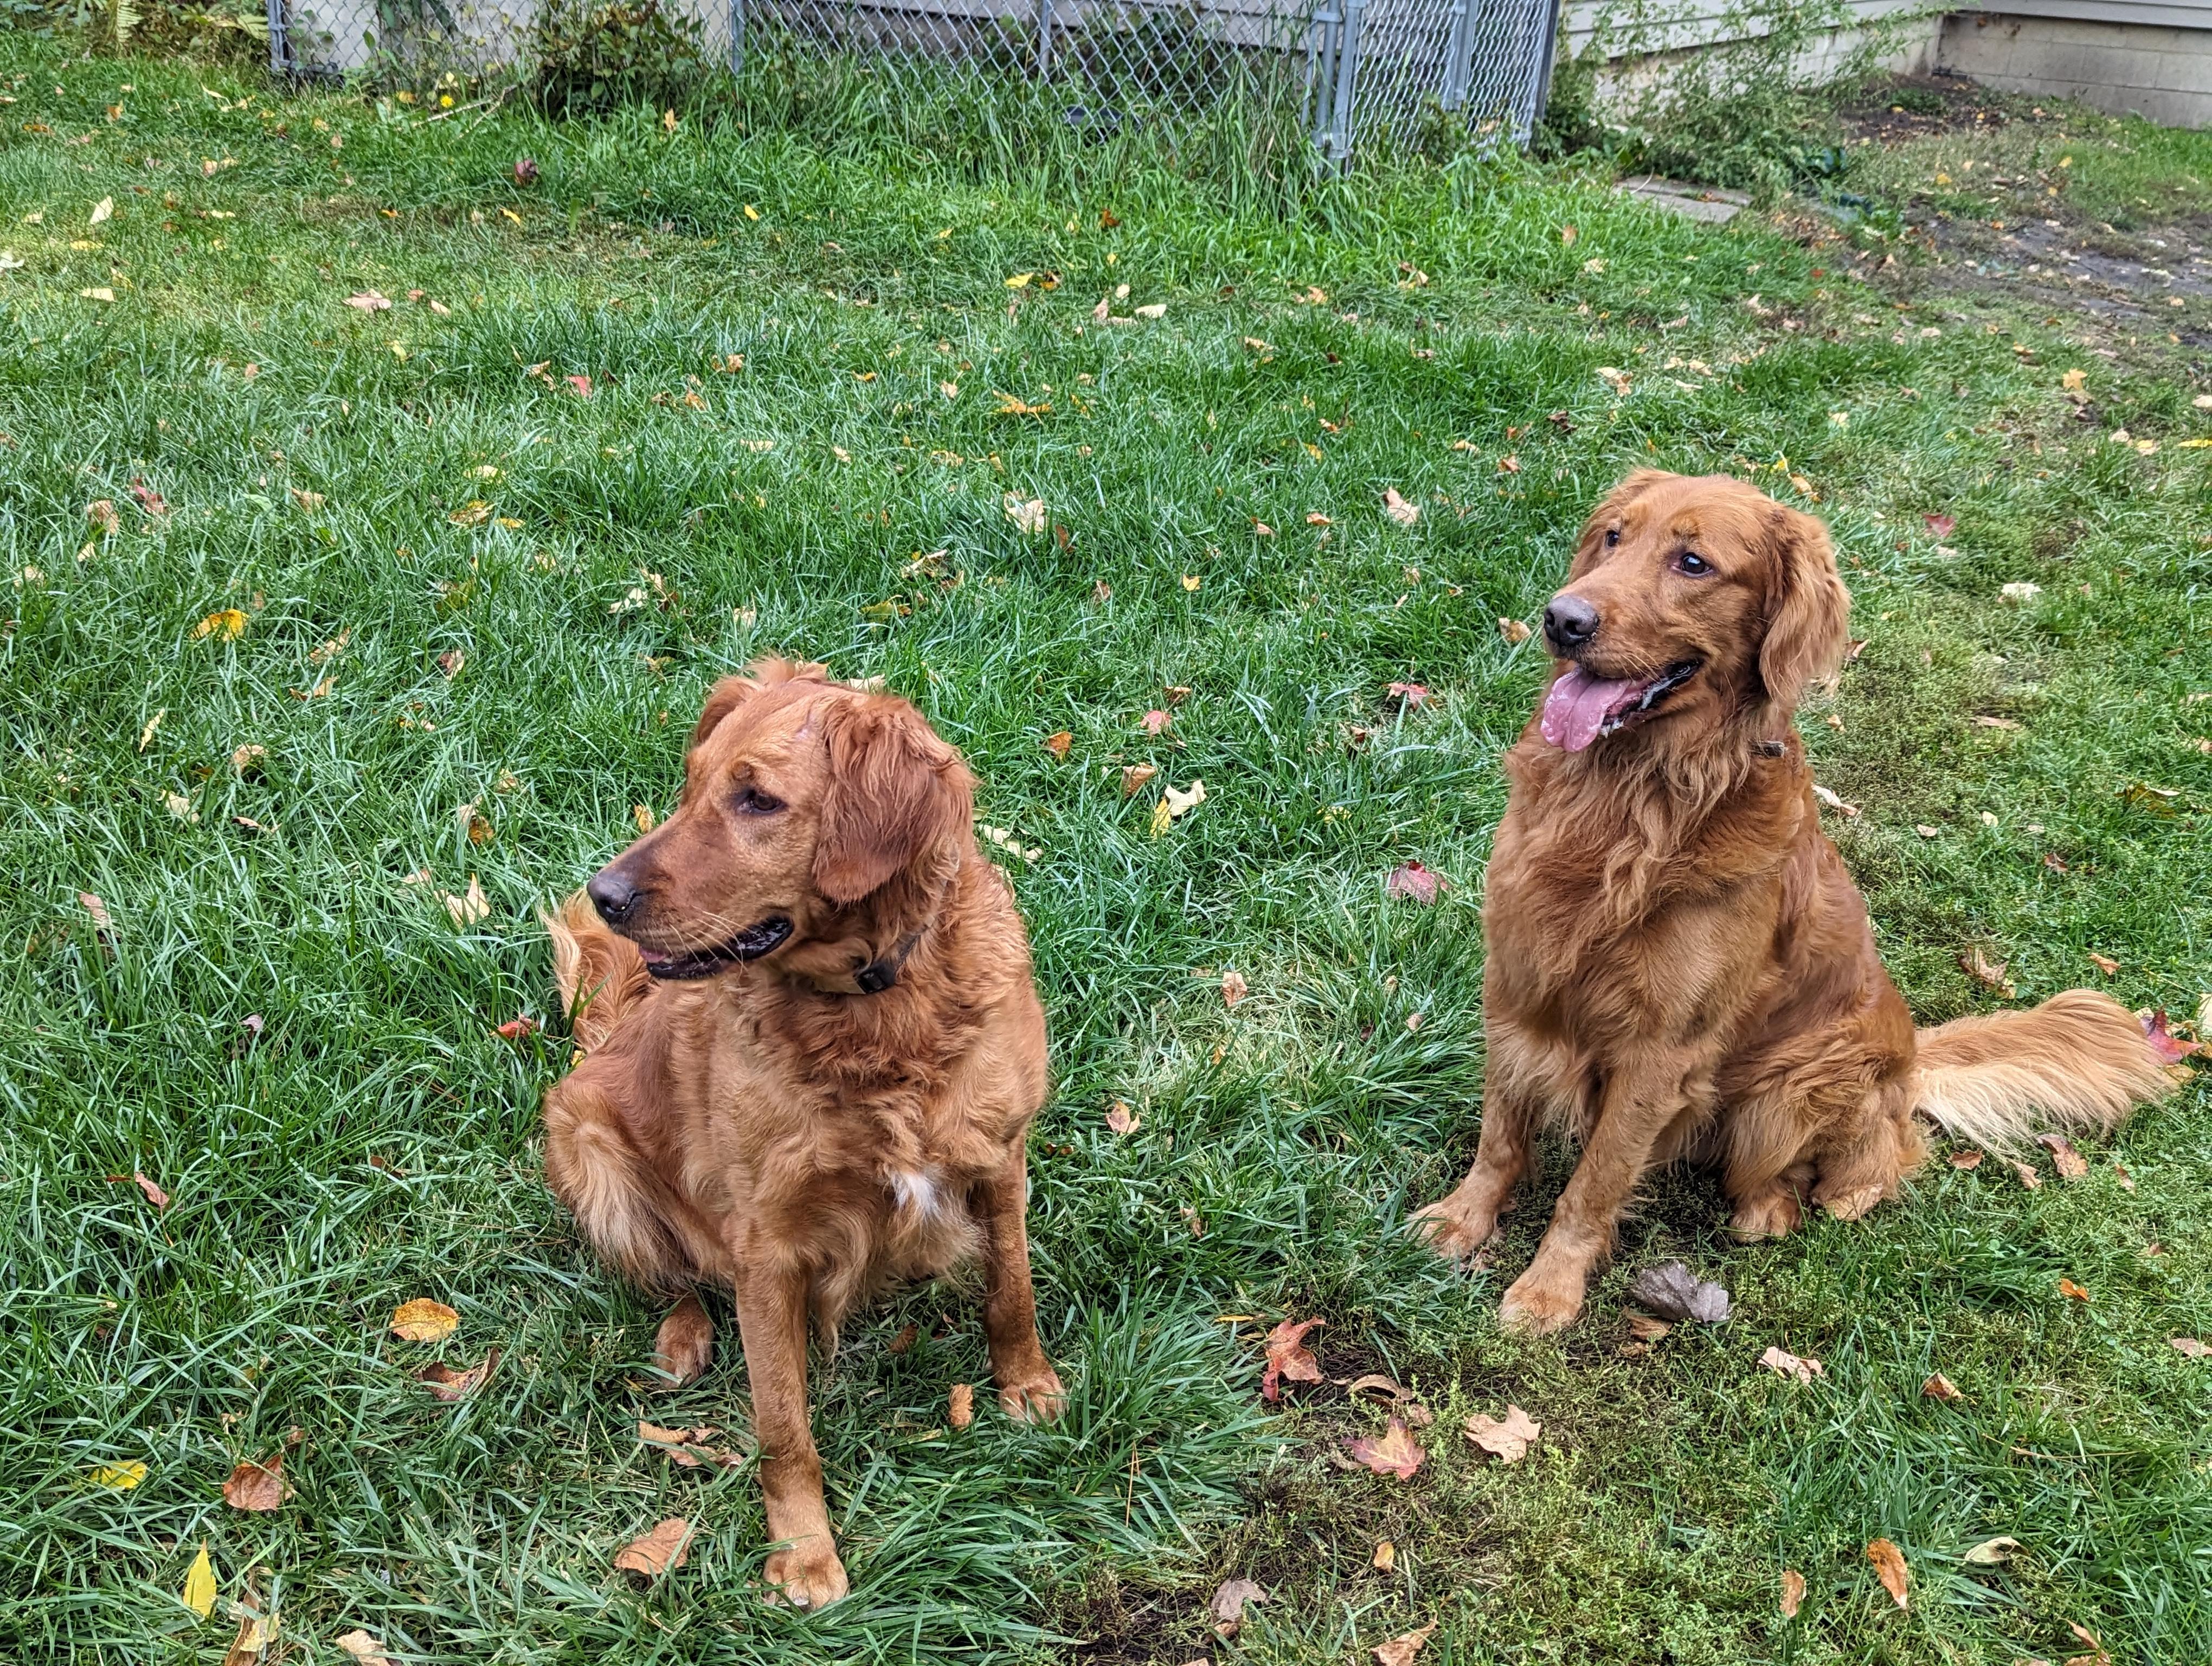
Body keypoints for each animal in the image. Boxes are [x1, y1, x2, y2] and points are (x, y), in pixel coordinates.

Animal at [542, 659, 1064, 1608]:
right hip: (589, 1150)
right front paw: (803, 1553)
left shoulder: (1000, 1156)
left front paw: (1028, 1386)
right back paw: (682, 1338)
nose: (606, 894)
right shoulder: (766, 1245)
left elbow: (1012, 1291)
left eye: (757, 800)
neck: (877, 1013)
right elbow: (783, 1422)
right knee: (673, 1271)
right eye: (692, 784)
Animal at [1415, 470, 2175, 1333]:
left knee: (1865, 1166)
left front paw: (1549, 1289)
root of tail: (1912, 1063)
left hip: (1792, 1089)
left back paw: (1791, 1207)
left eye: (1693, 562)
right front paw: (1462, 1220)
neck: (1631, 801)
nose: (1561, 620)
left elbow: (1596, 1182)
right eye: (1613, 537)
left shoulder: (1660, 1053)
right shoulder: (1517, 982)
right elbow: (1500, 1133)